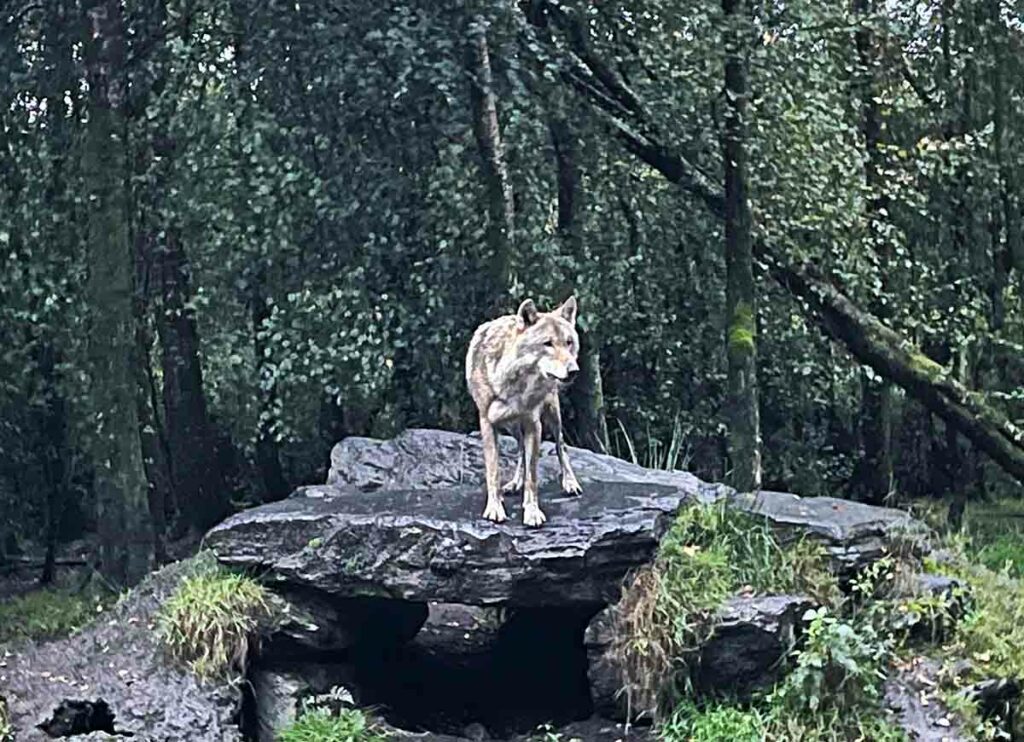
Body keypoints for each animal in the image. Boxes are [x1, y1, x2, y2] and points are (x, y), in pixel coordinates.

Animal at [465, 296, 583, 527]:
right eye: (548, 343)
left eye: (568, 342)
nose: (574, 371)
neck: (516, 386)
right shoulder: (487, 424)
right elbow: (493, 471)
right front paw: (495, 508)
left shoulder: (533, 425)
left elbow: (533, 476)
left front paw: (532, 512)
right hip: (510, 425)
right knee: (520, 450)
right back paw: (513, 484)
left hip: (552, 415)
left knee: (560, 445)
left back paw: (570, 482)